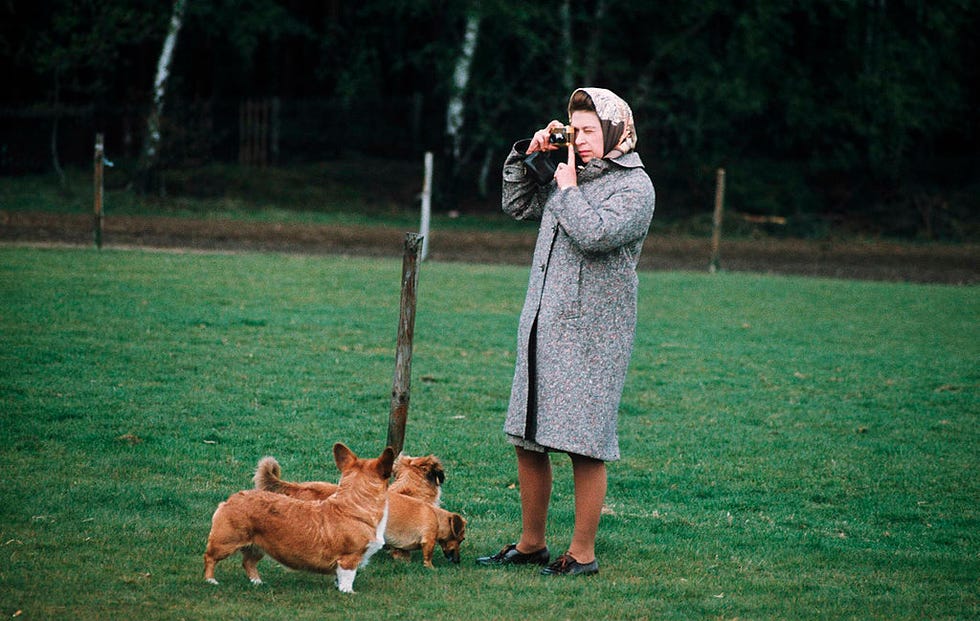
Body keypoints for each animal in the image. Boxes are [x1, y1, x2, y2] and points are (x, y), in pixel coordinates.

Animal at [203, 444, 394, 592]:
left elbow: (338, 577)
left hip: (258, 546)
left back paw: (257, 582)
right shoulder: (349, 558)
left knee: (248, 562)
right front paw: (348, 592)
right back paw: (211, 581)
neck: (354, 505)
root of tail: (230, 500)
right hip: (226, 542)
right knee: (209, 558)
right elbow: (348, 578)